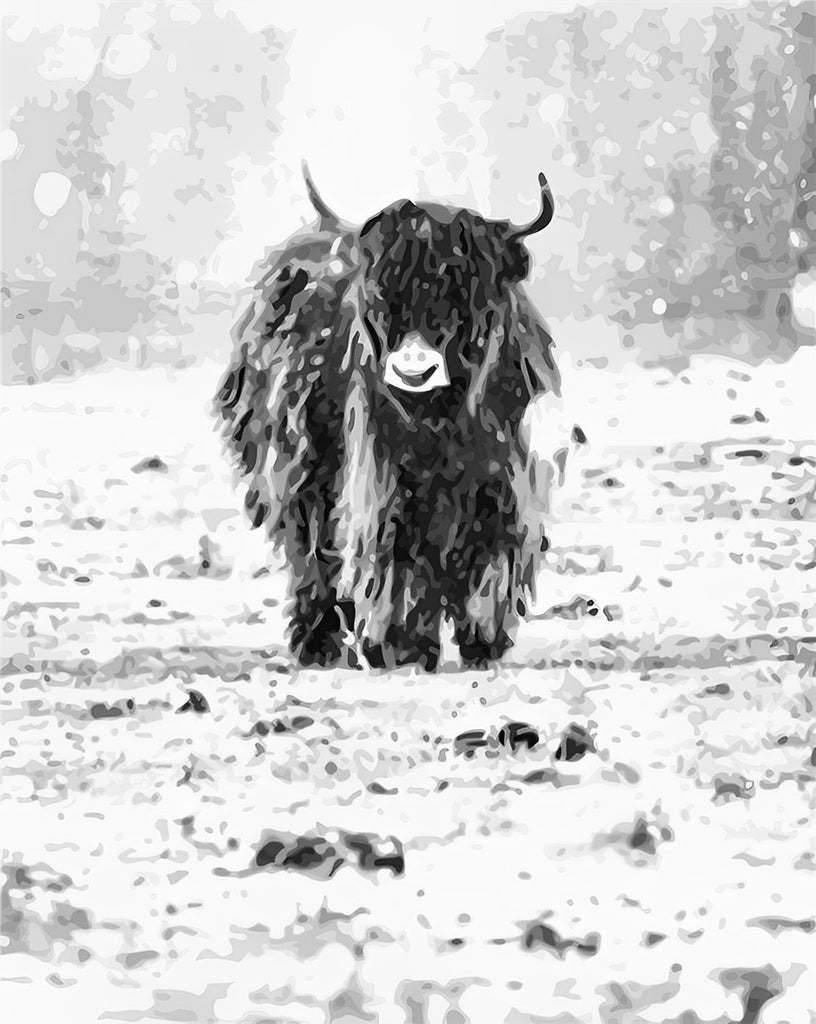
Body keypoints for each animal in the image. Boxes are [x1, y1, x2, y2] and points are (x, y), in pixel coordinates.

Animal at [212, 163, 565, 671]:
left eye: (466, 291)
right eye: (383, 296)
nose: (413, 370)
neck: (440, 423)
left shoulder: (504, 478)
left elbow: (494, 548)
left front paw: (484, 640)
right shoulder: (379, 479)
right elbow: (392, 553)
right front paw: (402, 646)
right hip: (294, 474)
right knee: (311, 553)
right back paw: (319, 645)